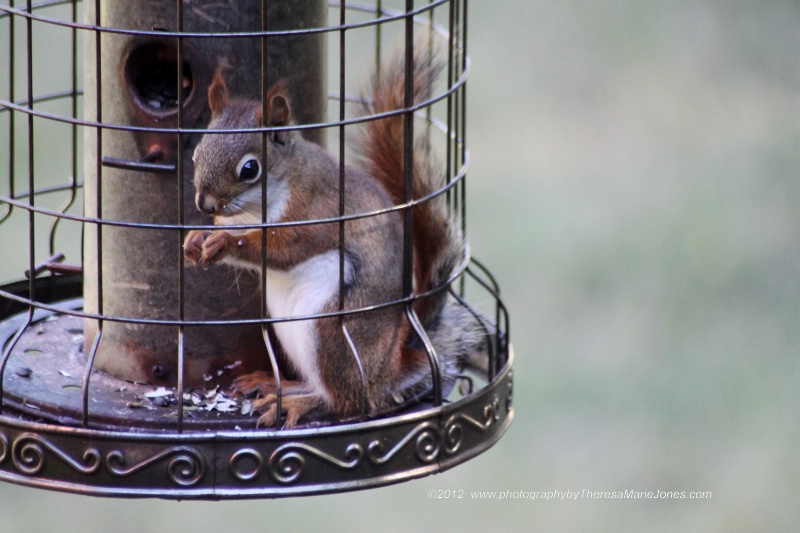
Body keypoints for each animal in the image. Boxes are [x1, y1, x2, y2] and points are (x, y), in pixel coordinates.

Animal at [183, 52, 482, 426]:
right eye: (196, 155)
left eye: (249, 169)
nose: (204, 204)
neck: (255, 209)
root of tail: (388, 371)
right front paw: (196, 239)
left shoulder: (316, 211)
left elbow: (283, 249)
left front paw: (223, 244)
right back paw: (279, 386)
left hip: (330, 332)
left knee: (347, 402)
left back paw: (295, 404)